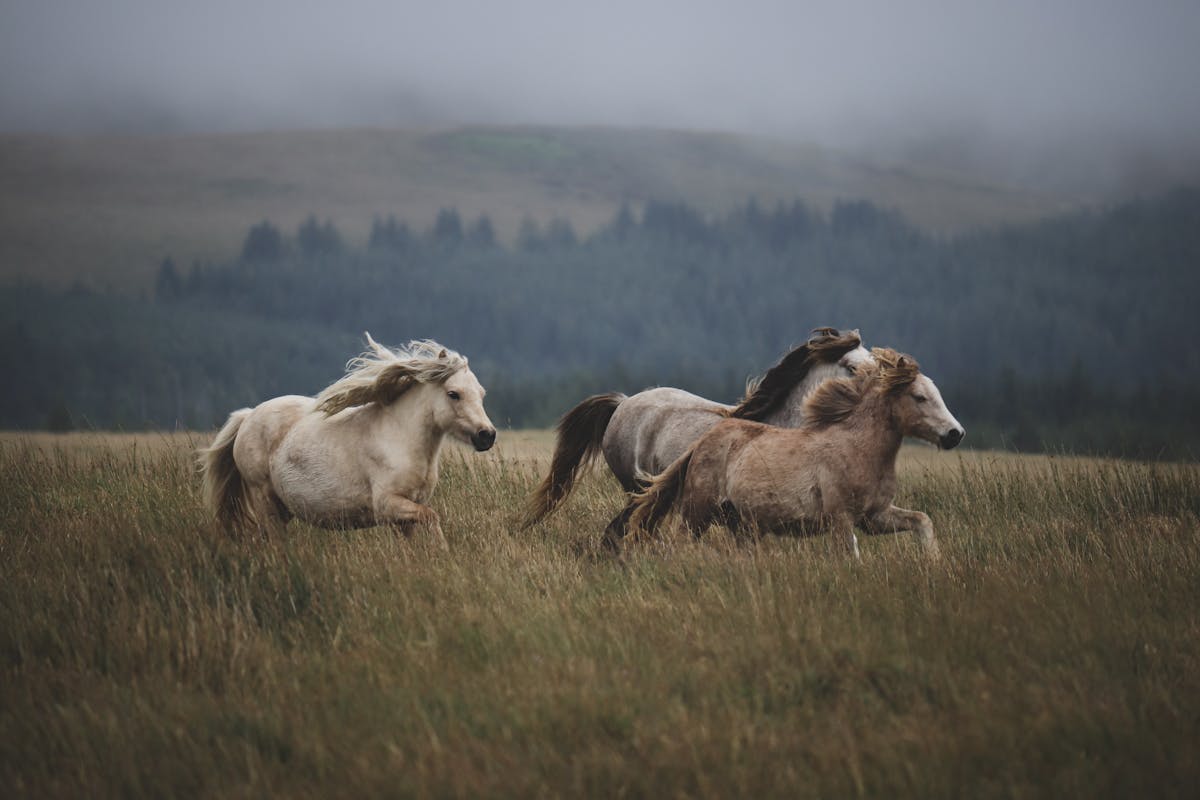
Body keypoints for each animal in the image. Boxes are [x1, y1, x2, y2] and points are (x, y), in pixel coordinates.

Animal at [199, 336, 497, 544]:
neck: (401, 439)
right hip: (264, 499)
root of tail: (248, 416)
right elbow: (433, 518)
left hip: (281, 509)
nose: (487, 435)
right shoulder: (388, 506)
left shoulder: (405, 513)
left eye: (481, 393)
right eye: (453, 394)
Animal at [616, 347, 964, 558]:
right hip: (697, 512)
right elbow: (850, 556)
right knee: (680, 542)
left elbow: (922, 520)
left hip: (742, 525)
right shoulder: (841, 518)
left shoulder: (875, 517)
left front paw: (933, 562)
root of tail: (700, 443)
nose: (955, 434)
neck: (859, 448)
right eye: (919, 397)